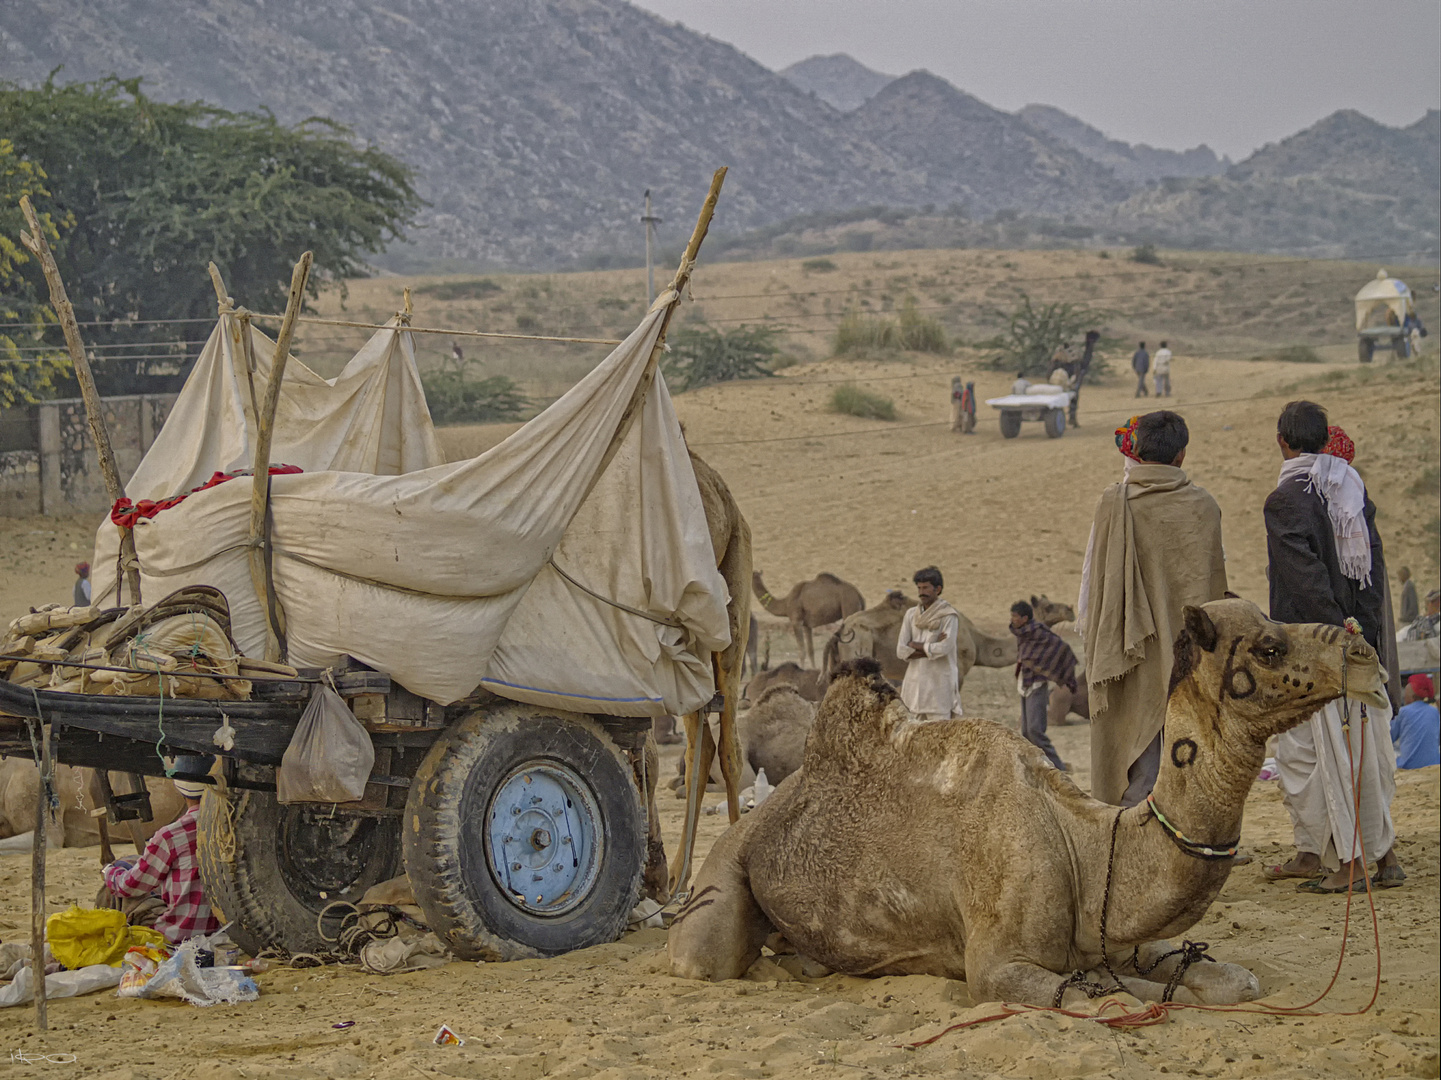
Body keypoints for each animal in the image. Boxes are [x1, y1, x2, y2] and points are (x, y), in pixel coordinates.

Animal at [668, 596, 1389, 1003]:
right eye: (1269, 646)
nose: (1366, 655)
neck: (1086, 845)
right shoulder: (996, 967)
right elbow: (1113, 999)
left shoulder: (1116, 935)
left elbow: (1232, 980)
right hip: (725, 871)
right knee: (701, 958)